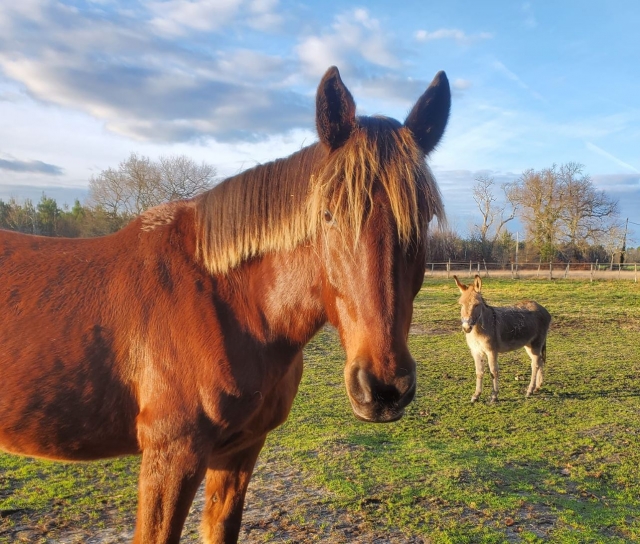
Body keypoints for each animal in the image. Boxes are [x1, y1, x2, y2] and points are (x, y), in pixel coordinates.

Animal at [0, 66, 450, 543]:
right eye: (328, 214)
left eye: (423, 218)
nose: (383, 388)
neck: (226, 301)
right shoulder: (172, 455)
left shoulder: (240, 449)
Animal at [453, 275, 551, 403]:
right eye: (461, 304)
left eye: (476, 305)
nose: (466, 327)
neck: (478, 330)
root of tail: (542, 308)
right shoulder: (476, 351)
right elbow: (479, 372)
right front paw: (476, 395)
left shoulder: (491, 351)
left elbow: (493, 372)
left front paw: (494, 396)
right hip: (529, 344)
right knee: (539, 361)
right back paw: (537, 387)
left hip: (536, 343)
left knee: (535, 364)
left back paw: (529, 390)